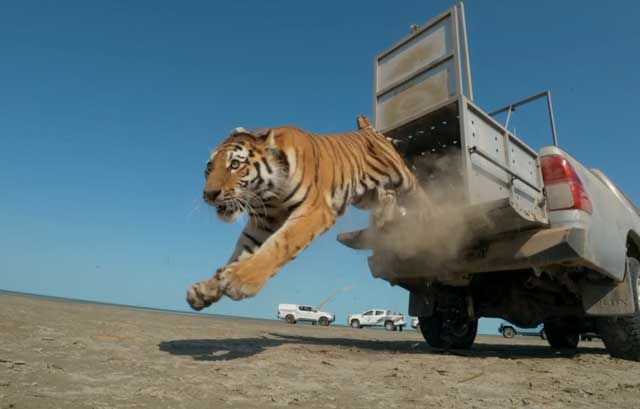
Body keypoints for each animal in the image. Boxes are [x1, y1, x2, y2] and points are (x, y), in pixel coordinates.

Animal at [186, 114, 420, 311]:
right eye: (209, 168)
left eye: (235, 164)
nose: (209, 194)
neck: (268, 194)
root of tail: (368, 130)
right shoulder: (262, 223)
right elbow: (239, 253)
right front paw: (205, 289)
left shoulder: (314, 212)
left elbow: (280, 243)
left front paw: (240, 280)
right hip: (365, 196)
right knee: (387, 195)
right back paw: (382, 220)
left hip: (403, 178)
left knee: (418, 193)